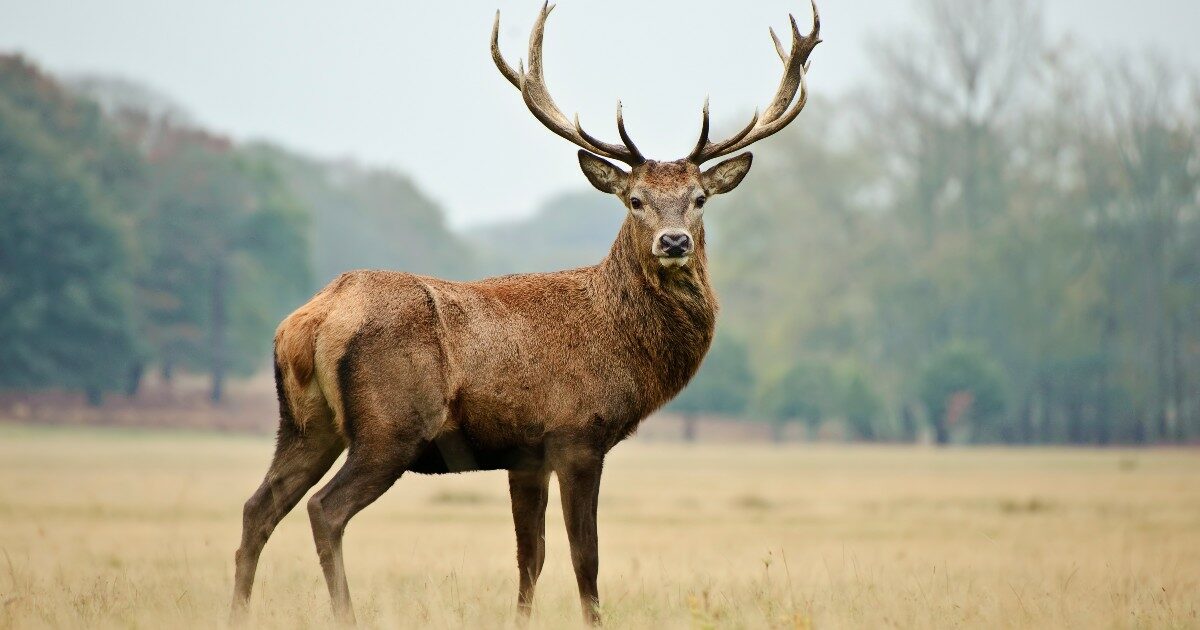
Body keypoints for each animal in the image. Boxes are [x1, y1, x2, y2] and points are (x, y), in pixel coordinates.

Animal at [229, 1, 820, 624]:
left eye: (699, 199)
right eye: (635, 200)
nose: (675, 241)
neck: (624, 345)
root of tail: (311, 321)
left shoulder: (525, 454)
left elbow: (529, 559)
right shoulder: (577, 434)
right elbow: (585, 558)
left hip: (304, 424)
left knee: (257, 508)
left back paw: (238, 612)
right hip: (390, 426)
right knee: (325, 509)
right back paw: (345, 613)